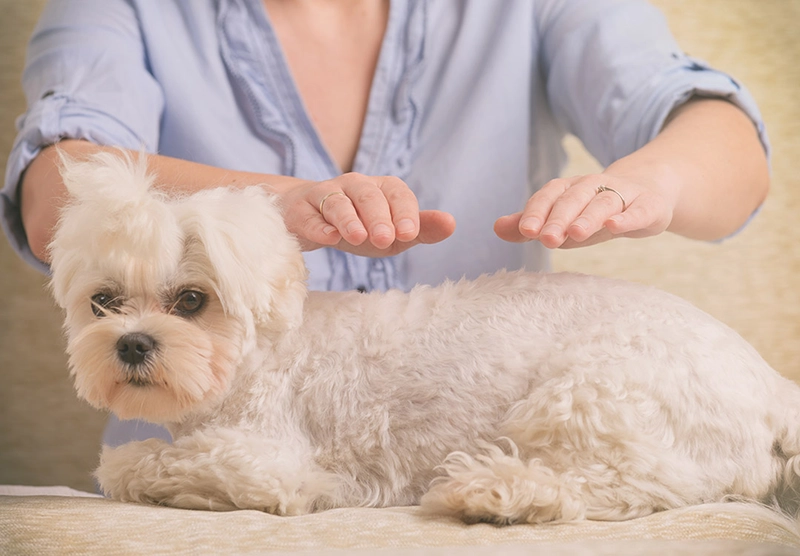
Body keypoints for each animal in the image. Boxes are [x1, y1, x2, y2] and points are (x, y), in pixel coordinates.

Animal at [48, 150, 800, 524]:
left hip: (589, 397)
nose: (132, 343)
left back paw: (500, 493)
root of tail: (774, 391)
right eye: (104, 302)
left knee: (630, 485)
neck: (266, 355)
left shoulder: (265, 460)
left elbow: (131, 465)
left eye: (192, 301)